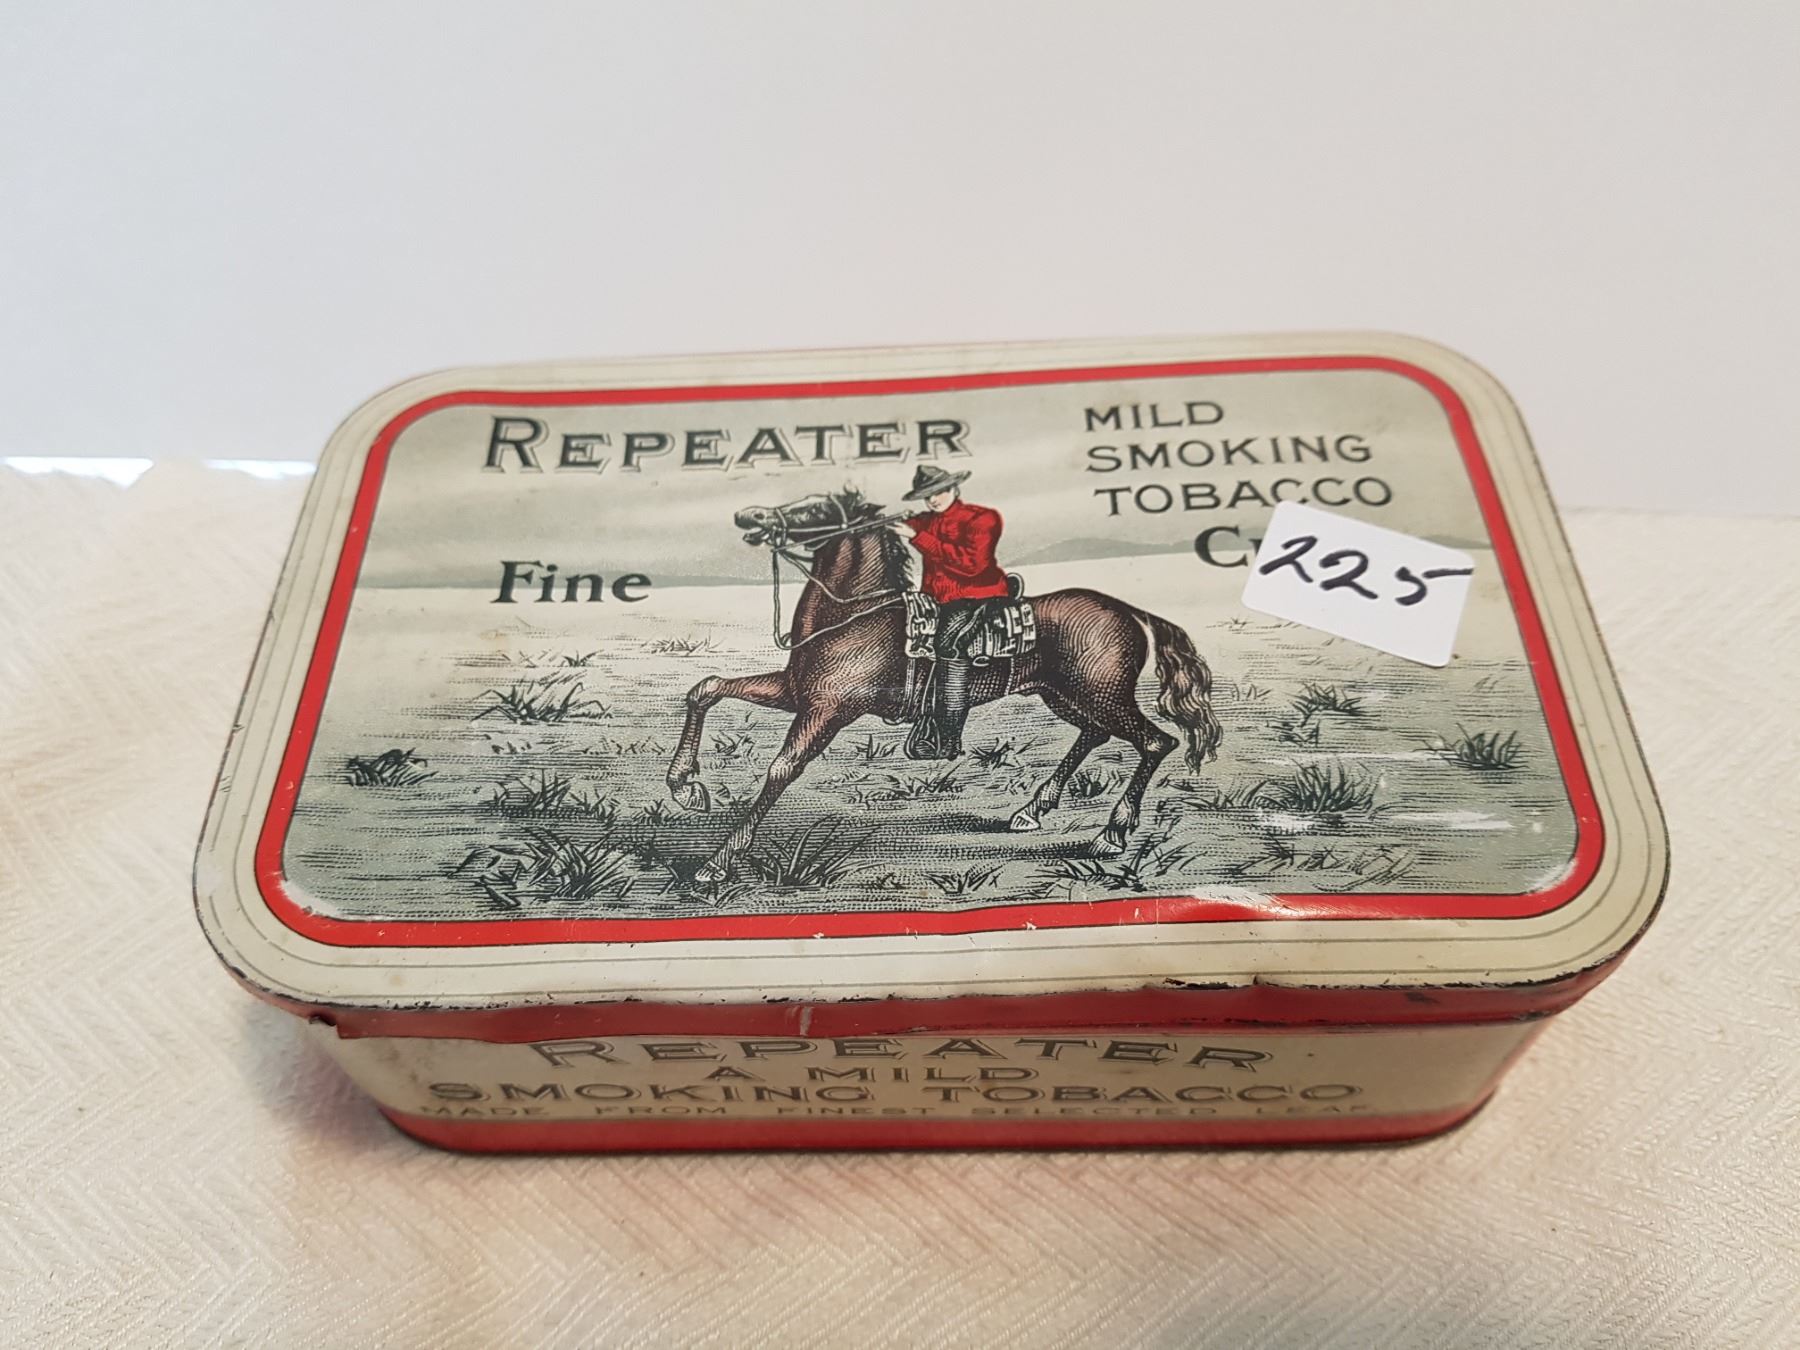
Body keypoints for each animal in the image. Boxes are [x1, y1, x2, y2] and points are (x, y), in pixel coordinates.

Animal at [666, 489, 1223, 886]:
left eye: (815, 507)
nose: (748, 516)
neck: (854, 615)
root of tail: (1127, 610)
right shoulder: (792, 691)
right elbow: (707, 688)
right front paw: (685, 786)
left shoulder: (826, 710)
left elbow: (782, 769)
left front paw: (715, 865)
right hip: (1064, 695)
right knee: (1096, 735)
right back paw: (1031, 812)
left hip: (1102, 695)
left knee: (1156, 741)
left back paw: (1111, 834)